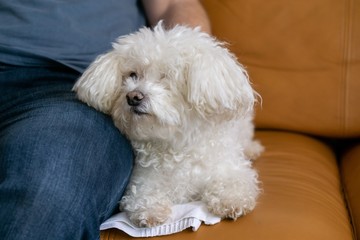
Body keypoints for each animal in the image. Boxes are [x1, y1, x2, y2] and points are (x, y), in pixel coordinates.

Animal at [74, 21, 264, 228]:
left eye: (166, 77)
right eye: (132, 75)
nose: (133, 97)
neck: (177, 146)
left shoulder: (230, 168)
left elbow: (235, 183)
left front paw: (230, 200)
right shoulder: (142, 179)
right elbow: (142, 194)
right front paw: (150, 210)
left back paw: (252, 149)